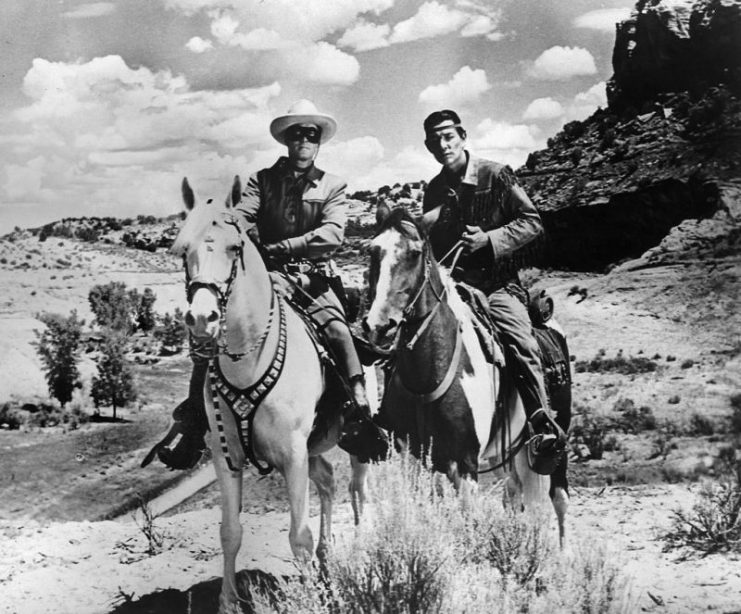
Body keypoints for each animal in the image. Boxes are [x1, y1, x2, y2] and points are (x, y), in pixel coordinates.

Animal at [172, 176, 370, 612]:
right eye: (181, 249)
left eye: (234, 247)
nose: (202, 319)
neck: (250, 361)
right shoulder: (225, 456)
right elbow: (230, 531)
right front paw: (228, 601)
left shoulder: (293, 455)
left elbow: (299, 536)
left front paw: (310, 598)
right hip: (314, 449)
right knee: (328, 481)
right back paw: (327, 560)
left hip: (358, 444)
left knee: (358, 491)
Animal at [362, 211, 568, 544]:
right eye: (372, 251)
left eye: (415, 253)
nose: (379, 326)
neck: (429, 372)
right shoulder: (413, 460)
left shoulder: (465, 463)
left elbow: (468, 523)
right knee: (514, 496)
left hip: (557, 439)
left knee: (559, 498)